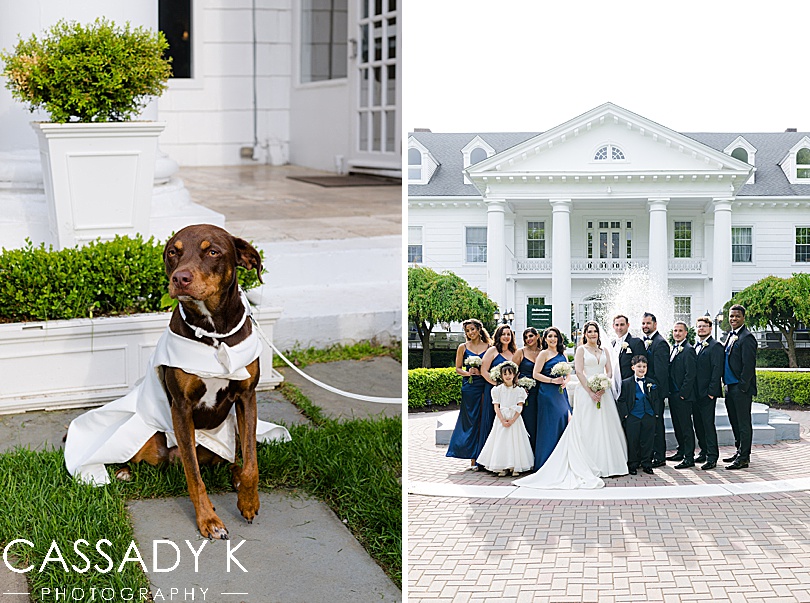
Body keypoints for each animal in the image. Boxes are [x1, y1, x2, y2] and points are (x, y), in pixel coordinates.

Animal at [126, 224, 264, 540]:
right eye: (172, 252)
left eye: (212, 251)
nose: (180, 278)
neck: (213, 332)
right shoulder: (182, 406)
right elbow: (194, 476)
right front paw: (209, 520)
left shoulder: (247, 396)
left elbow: (251, 464)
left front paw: (248, 502)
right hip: (151, 444)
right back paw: (122, 471)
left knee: (233, 461)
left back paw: (236, 480)